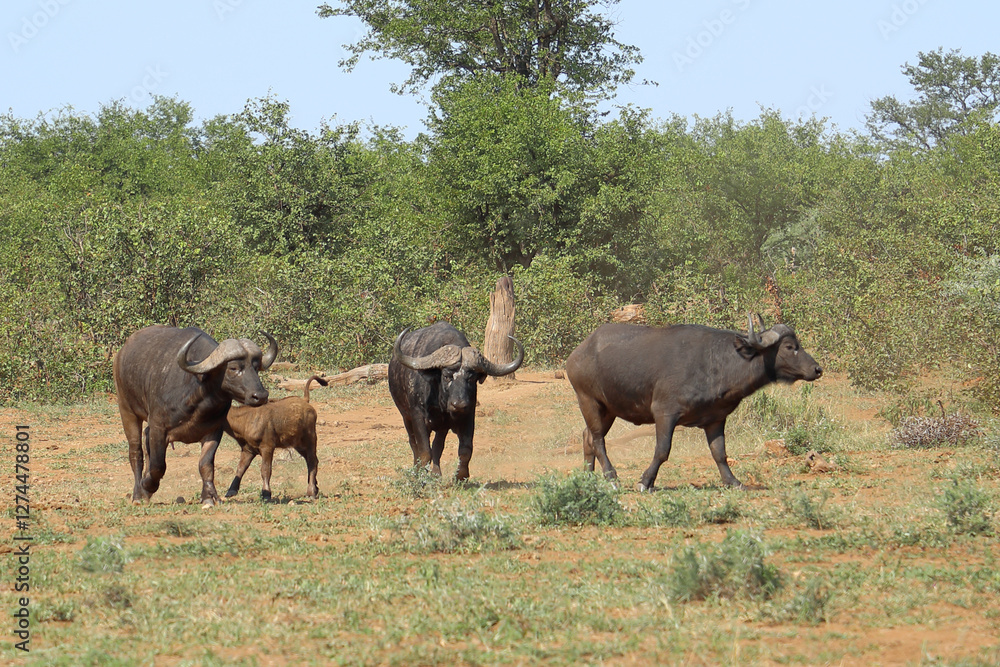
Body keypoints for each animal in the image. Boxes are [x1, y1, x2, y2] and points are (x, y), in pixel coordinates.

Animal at [113, 325, 277, 506]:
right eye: (233, 368)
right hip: (127, 410)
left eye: (255, 367)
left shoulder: (214, 431)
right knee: (136, 452)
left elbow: (205, 465)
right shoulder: (158, 427)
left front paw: (208, 498)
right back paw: (137, 495)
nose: (260, 396)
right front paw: (147, 486)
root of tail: (121, 354)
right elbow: (158, 466)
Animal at [388, 322, 524, 480]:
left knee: (438, 445)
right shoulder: (417, 417)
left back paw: (436, 473)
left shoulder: (467, 415)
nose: (458, 405)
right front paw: (420, 474)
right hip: (406, 417)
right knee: (413, 443)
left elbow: (465, 449)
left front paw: (460, 476)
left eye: (471, 378)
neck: (440, 401)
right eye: (447, 376)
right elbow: (424, 451)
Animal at [565, 315, 822, 490]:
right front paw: (646, 481)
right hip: (588, 400)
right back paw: (611, 476)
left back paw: (587, 477)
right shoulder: (664, 413)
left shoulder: (716, 419)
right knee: (598, 439)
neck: (717, 363)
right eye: (790, 347)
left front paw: (733, 481)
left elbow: (719, 453)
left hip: (608, 409)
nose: (817, 369)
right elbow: (662, 450)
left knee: (587, 437)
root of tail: (577, 354)